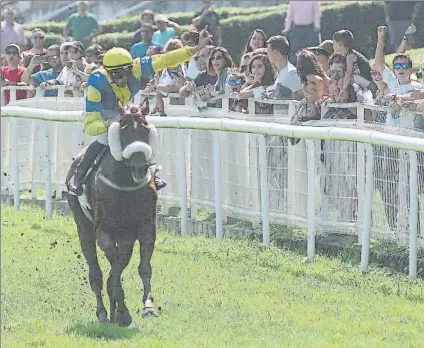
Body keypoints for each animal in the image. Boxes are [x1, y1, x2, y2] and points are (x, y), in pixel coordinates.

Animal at [65, 100, 160, 326]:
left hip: (124, 235)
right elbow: (114, 266)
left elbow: (141, 266)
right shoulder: (104, 231)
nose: (139, 167)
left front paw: (148, 306)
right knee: (95, 272)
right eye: (122, 129)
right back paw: (102, 313)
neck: (125, 184)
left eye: (145, 128)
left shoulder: (145, 227)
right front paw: (122, 311)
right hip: (83, 227)